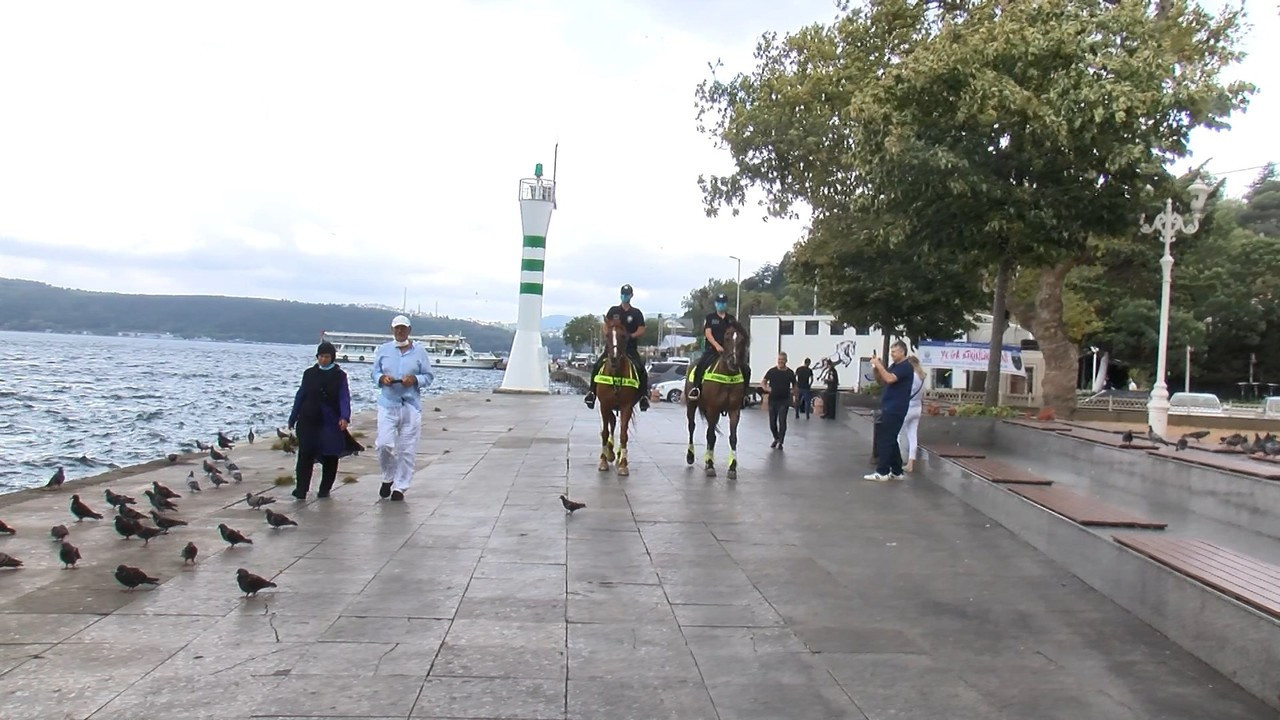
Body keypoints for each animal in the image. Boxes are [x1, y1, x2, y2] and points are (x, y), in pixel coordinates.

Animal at [596, 316, 640, 474]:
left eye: (623, 336)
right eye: (607, 335)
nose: (614, 358)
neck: (615, 374)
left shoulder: (626, 406)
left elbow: (623, 434)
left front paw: (623, 465)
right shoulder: (604, 404)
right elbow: (604, 432)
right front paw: (603, 461)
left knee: (620, 426)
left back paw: (619, 454)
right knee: (613, 422)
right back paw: (609, 453)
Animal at [686, 322, 747, 474]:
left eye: (742, 340)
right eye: (726, 338)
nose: (733, 362)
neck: (727, 375)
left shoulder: (734, 410)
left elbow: (732, 438)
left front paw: (732, 466)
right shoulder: (713, 409)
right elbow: (711, 436)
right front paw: (710, 465)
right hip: (691, 405)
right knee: (692, 427)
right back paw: (690, 456)